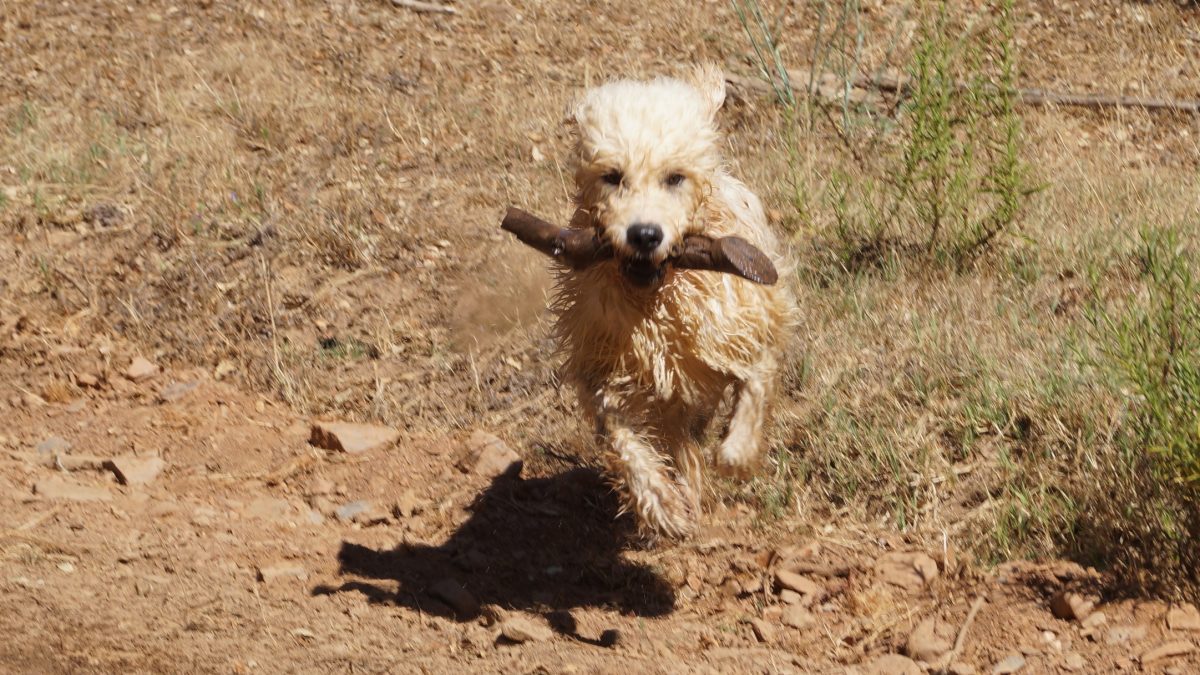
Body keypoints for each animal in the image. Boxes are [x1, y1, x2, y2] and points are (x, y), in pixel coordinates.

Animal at [549, 63, 796, 535]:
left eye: (675, 177)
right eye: (613, 176)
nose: (645, 234)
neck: (657, 298)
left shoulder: (749, 322)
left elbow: (756, 381)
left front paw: (737, 452)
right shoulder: (606, 365)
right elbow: (621, 435)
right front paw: (661, 503)